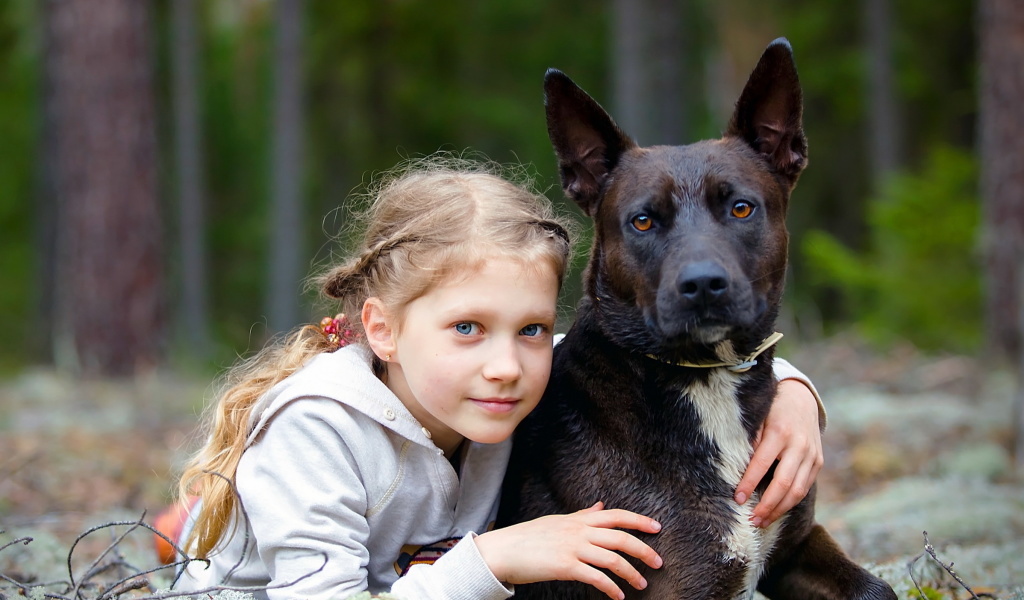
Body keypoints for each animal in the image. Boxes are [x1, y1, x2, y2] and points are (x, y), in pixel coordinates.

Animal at [499, 38, 901, 597]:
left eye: (740, 208)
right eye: (643, 221)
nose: (703, 285)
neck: (706, 378)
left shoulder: (794, 547)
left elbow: (877, 587)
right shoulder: (684, 582)